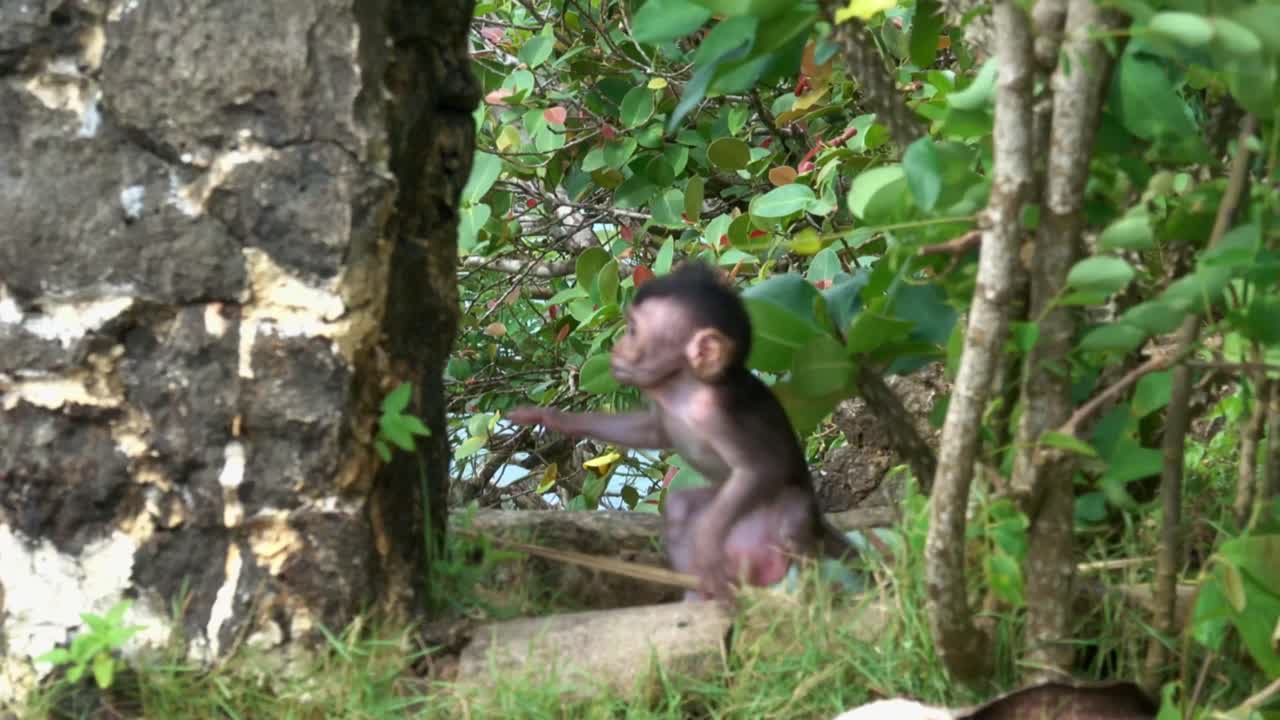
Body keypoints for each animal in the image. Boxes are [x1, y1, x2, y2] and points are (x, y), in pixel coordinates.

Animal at [506, 261, 856, 602]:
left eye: (633, 330)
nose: (616, 348)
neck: (685, 392)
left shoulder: (719, 415)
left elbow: (760, 468)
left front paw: (706, 541)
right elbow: (651, 432)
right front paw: (552, 418)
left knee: (791, 521)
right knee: (679, 507)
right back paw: (702, 592)